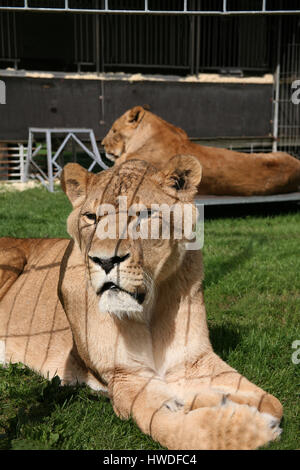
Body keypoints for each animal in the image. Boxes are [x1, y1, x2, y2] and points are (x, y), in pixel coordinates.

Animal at [0, 156, 282, 450]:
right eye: (91, 217)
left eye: (144, 215)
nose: (105, 261)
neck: (148, 310)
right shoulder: (125, 376)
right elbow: (174, 427)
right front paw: (253, 427)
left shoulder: (193, 361)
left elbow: (273, 402)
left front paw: (221, 401)